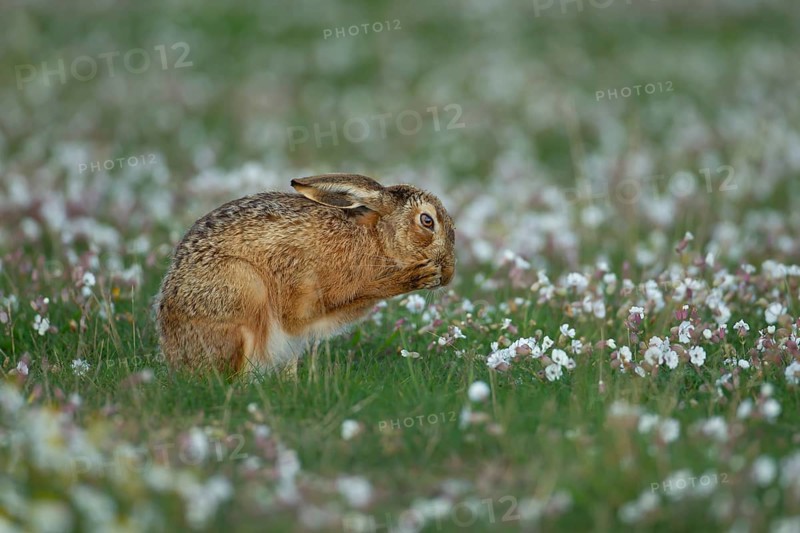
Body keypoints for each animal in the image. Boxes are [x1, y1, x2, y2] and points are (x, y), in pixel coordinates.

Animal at [155, 173, 455, 375]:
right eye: (427, 221)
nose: (449, 274)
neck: (376, 240)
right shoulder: (303, 288)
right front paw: (416, 276)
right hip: (242, 289)